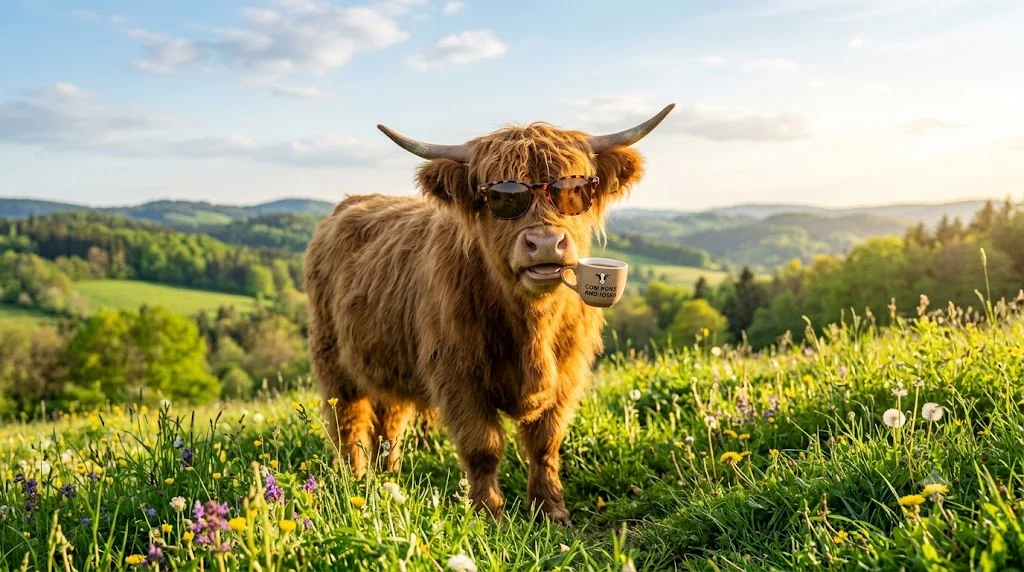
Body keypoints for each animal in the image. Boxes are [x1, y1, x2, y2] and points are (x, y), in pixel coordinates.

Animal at [305, 104, 675, 525]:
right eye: (501, 198)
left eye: (574, 190)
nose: (545, 243)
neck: (532, 327)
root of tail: (350, 203)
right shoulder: (458, 377)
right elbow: (483, 447)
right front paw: (488, 515)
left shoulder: (568, 374)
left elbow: (545, 443)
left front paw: (551, 509)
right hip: (332, 361)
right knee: (348, 425)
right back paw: (355, 484)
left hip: (389, 361)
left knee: (389, 423)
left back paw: (388, 480)